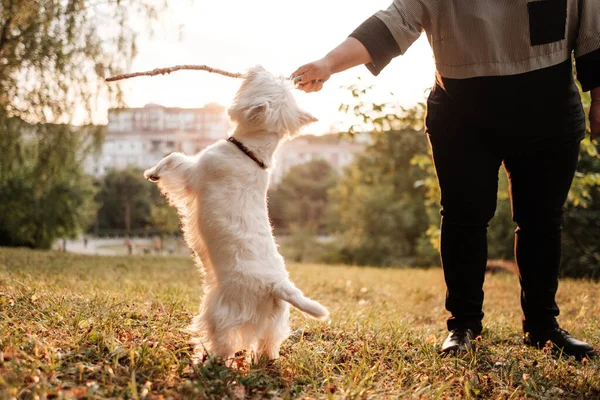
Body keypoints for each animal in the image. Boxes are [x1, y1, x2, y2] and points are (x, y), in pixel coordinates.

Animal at [146, 65, 332, 362]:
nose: (257, 67)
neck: (250, 152)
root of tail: (276, 285)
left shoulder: (193, 172)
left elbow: (173, 156)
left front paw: (151, 172)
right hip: (274, 320)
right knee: (269, 342)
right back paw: (264, 359)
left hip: (223, 308)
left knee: (223, 338)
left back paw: (207, 357)